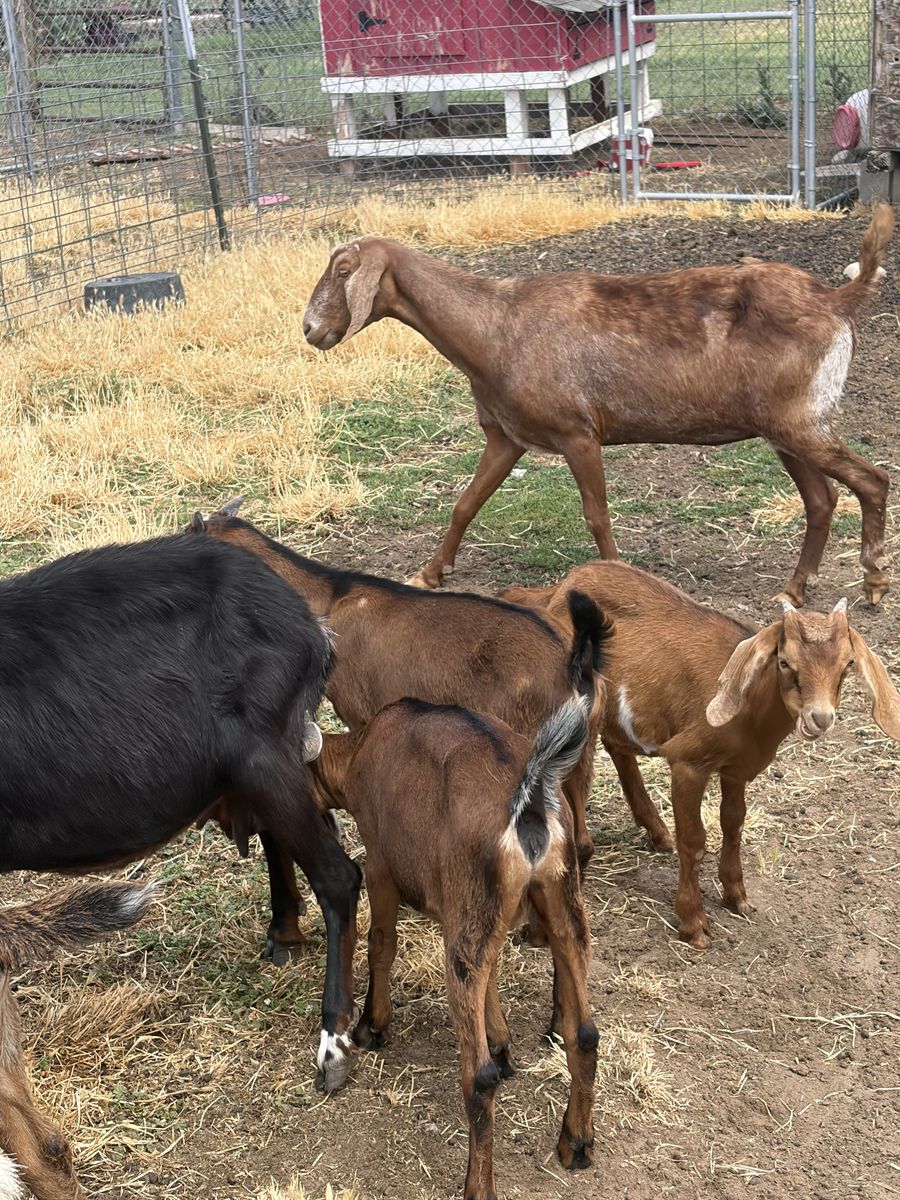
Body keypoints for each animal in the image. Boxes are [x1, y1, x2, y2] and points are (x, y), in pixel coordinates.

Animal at [303, 205, 894, 607]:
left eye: (343, 271)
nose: (310, 330)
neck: (497, 327)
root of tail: (836, 299)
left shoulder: (578, 433)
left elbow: (597, 515)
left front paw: (617, 582)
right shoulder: (507, 436)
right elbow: (465, 504)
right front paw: (429, 574)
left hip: (799, 420)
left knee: (871, 480)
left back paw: (873, 579)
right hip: (782, 425)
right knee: (821, 500)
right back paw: (795, 590)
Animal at [311, 697, 598, 1200]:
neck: (363, 748)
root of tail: (529, 802)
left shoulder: (381, 864)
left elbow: (381, 943)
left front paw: (372, 1026)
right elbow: (494, 972)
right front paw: (501, 1040)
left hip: (470, 918)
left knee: (478, 1078)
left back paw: (477, 1186)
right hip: (560, 903)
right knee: (583, 1032)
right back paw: (576, 1142)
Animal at [500, 562, 900, 948]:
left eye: (847, 664)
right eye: (785, 662)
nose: (820, 718)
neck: (750, 707)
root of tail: (558, 588)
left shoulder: (737, 769)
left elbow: (733, 824)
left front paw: (737, 896)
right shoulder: (688, 764)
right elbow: (693, 841)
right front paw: (694, 923)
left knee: (616, 748)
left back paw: (657, 832)